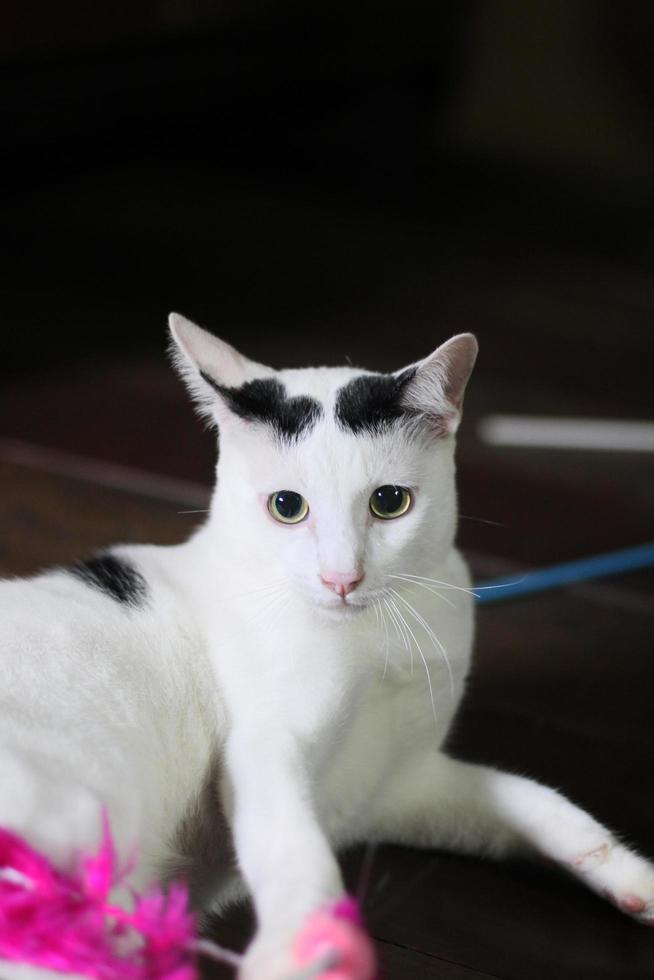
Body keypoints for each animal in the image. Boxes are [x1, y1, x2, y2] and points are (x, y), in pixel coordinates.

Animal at [0, 316, 652, 980]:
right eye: (287, 507)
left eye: (390, 501)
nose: (343, 578)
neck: (374, 644)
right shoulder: (264, 747)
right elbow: (295, 847)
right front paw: (302, 944)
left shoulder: (399, 790)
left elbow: (532, 800)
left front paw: (631, 878)